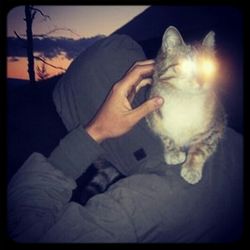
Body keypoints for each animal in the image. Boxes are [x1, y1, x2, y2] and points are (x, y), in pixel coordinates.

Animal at [146, 26, 226, 185]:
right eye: (185, 65)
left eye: (209, 67)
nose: (202, 81)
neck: (184, 98)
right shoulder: (153, 114)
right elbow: (166, 136)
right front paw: (173, 152)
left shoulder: (214, 128)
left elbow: (201, 147)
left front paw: (192, 168)